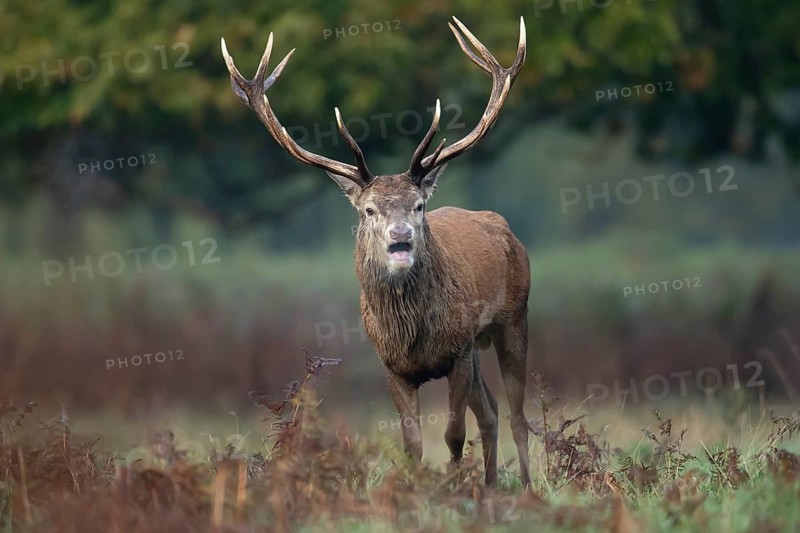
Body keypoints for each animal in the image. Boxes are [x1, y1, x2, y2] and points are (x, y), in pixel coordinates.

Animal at [221, 16, 531, 487]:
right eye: (369, 209)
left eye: (418, 205)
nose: (400, 237)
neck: (414, 335)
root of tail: (505, 227)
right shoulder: (392, 366)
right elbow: (412, 445)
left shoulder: (458, 351)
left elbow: (454, 434)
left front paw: (455, 486)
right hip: (480, 345)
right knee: (492, 413)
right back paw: (493, 486)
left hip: (512, 319)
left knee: (516, 416)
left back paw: (529, 486)